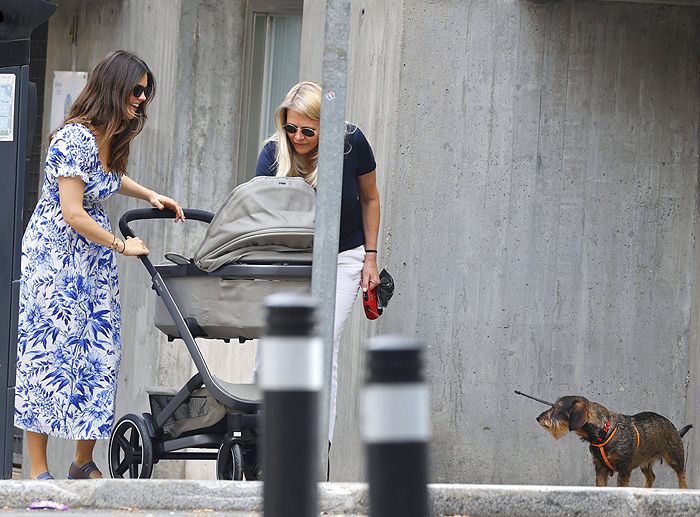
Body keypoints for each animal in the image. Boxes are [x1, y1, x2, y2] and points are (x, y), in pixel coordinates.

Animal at [540, 396, 692, 488]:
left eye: (558, 407)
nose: (538, 418)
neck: (604, 432)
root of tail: (674, 428)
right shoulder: (600, 467)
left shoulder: (625, 468)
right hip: (645, 463)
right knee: (651, 476)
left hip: (675, 457)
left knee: (682, 475)